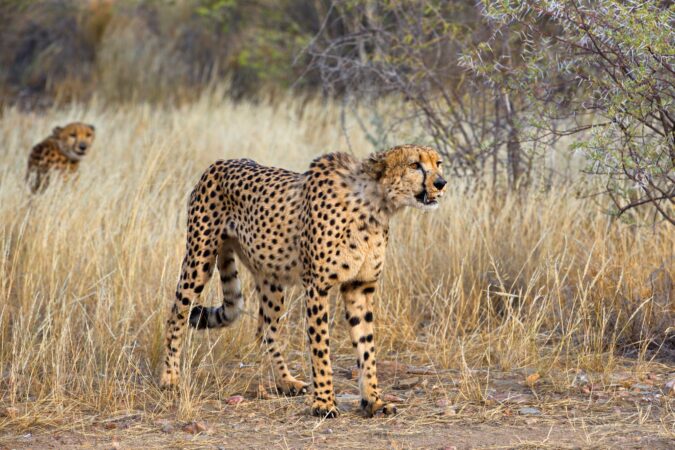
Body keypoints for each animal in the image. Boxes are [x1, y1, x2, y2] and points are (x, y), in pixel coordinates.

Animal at [162, 145, 448, 418]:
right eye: (414, 164)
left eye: (438, 163)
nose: (441, 182)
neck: (375, 204)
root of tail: (220, 162)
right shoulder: (317, 286)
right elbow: (320, 348)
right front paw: (324, 403)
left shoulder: (359, 286)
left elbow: (366, 348)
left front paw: (373, 401)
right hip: (199, 259)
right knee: (176, 314)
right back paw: (170, 378)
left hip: (271, 279)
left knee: (265, 331)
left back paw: (285, 381)